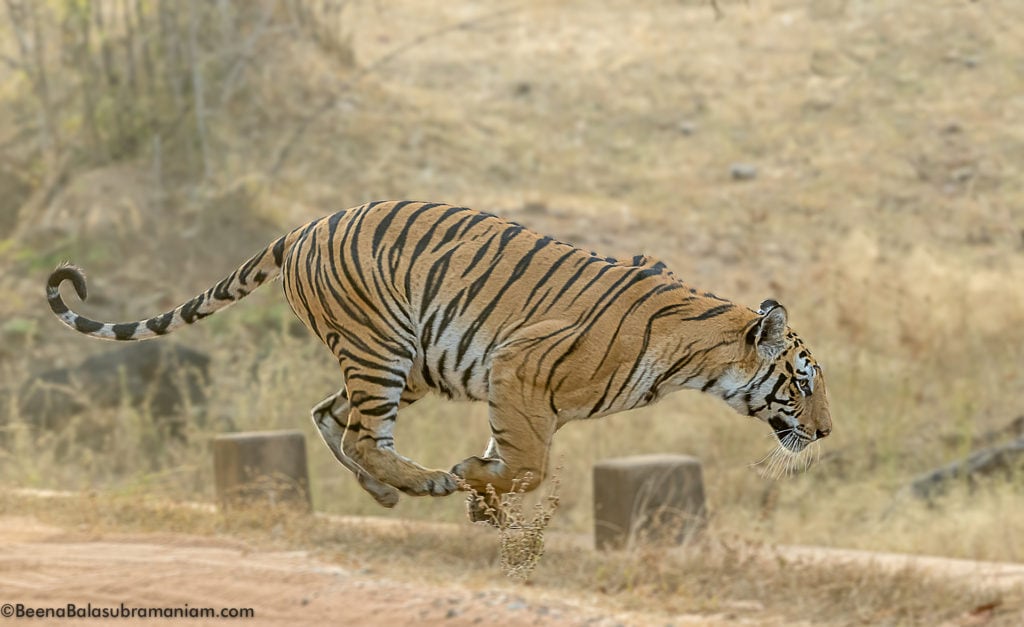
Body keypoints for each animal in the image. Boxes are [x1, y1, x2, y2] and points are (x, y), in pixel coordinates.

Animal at [48, 200, 831, 514]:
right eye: (801, 381)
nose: (826, 432)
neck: (696, 359)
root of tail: (303, 226)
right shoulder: (519, 367)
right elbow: (529, 464)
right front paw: (473, 481)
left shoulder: (518, 389)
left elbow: (516, 459)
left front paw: (483, 492)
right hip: (384, 347)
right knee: (361, 431)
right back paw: (423, 481)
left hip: (410, 363)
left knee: (332, 417)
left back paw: (385, 492)